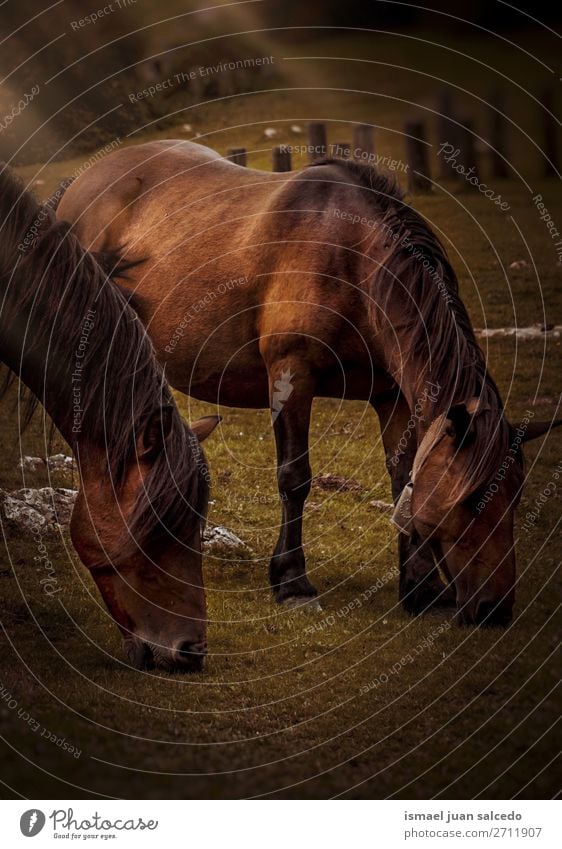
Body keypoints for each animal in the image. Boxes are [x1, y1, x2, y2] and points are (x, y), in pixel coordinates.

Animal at [58, 139, 556, 628]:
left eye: (516, 497)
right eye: (470, 502)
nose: (494, 609)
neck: (352, 260)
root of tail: (81, 181)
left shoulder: (392, 395)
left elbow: (403, 478)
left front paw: (422, 587)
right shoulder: (291, 376)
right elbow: (295, 478)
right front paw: (292, 582)